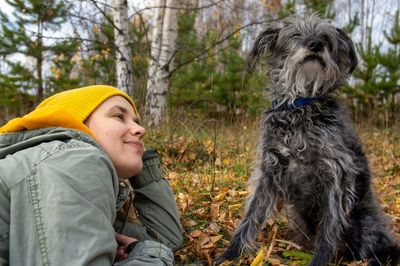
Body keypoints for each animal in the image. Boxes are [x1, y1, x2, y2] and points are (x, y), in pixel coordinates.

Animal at [216, 15, 400, 264]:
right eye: (295, 35)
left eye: (326, 38)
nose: (315, 44)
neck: (299, 105)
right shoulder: (270, 172)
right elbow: (251, 217)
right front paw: (228, 255)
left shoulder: (335, 174)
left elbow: (329, 229)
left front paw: (319, 260)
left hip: (366, 226)